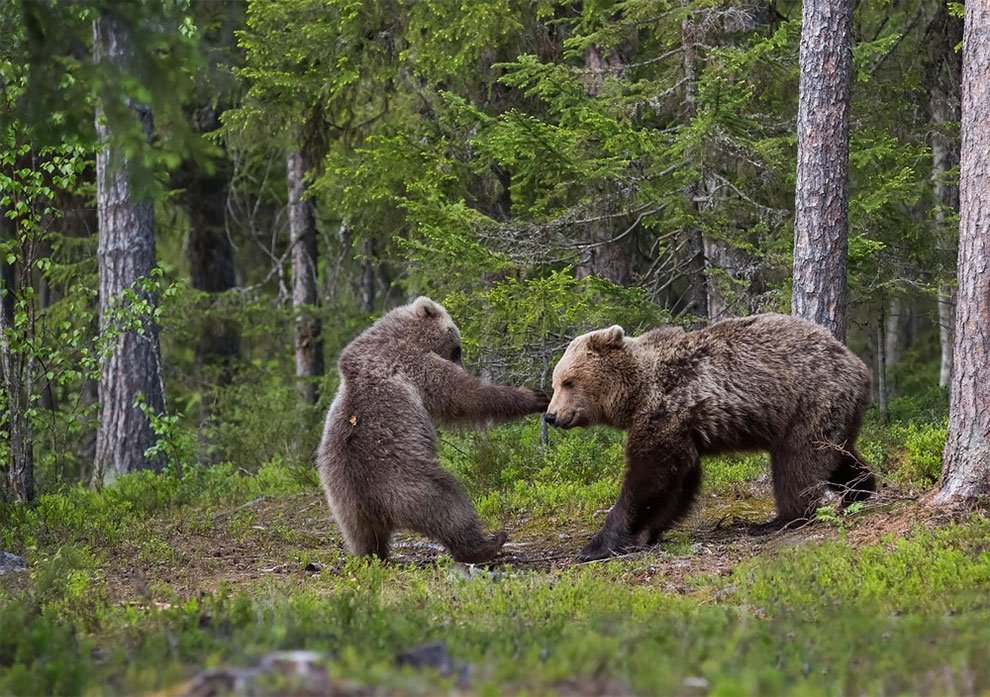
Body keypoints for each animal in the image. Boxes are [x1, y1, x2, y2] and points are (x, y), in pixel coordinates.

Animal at [320, 296, 548, 564]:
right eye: (458, 349)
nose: (463, 365)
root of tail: (373, 505)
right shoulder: (414, 363)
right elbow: (463, 396)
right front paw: (532, 396)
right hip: (410, 482)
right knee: (449, 507)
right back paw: (488, 543)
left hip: (343, 505)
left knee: (363, 538)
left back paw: (375, 556)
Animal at [548, 314, 880, 560]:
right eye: (555, 382)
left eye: (568, 381)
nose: (551, 415)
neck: (637, 392)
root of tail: (860, 366)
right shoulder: (680, 427)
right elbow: (677, 483)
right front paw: (643, 533)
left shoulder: (668, 408)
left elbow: (650, 477)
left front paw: (596, 545)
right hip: (833, 412)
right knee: (837, 454)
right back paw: (859, 488)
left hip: (809, 401)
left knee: (798, 461)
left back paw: (780, 519)